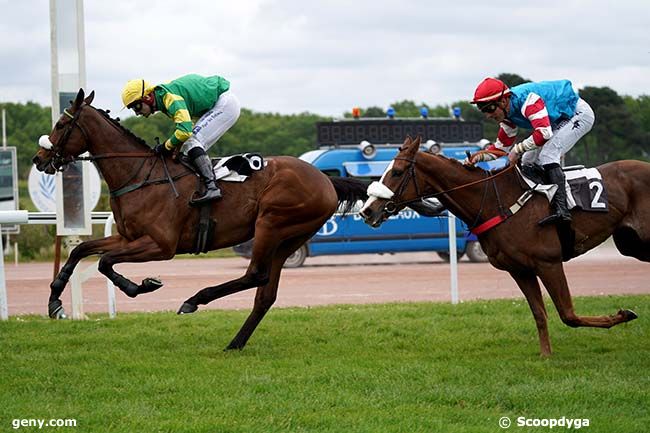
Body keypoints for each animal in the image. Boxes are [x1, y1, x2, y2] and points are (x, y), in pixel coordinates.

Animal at [31, 89, 370, 350]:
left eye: (61, 123)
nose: (39, 158)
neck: (140, 176)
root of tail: (326, 180)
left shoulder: (161, 246)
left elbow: (104, 262)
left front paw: (143, 286)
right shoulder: (127, 237)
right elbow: (82, 250)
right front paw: (54, 302)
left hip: (271, 225)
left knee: (255, 275)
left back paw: (195, 299)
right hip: (288, 240)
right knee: (265, 294)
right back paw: (235, 342)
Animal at [356, 135, 644, 354]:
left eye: (396, 172)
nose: (367, 210)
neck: (497, 202)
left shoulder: (548, 262)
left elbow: (568, 314)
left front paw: (623, 315)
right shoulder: (520, 269)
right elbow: (539, 313)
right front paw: (545, 356)